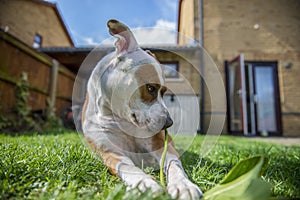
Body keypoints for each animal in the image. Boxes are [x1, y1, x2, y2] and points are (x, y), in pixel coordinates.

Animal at [81, 19, 203, 200]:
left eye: (164, 92)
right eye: (151, 88)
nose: (169, 123)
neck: (121, 119)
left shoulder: (159, 144)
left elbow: (173, 163)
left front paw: (183, 184)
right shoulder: (109, 151)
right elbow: (127, 167)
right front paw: (144, 184)